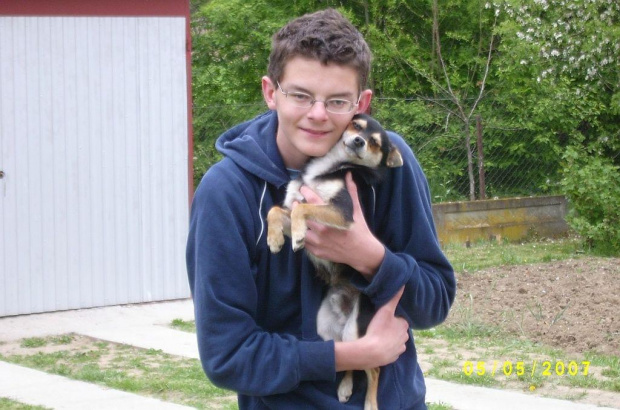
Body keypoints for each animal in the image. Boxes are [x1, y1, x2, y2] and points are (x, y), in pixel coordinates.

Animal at [267, 113, 403, 410]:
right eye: (356, 126)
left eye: (376, 144)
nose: (359, 141)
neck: (326, 168)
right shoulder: (292, 201)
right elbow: (276, 210)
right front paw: (275, 239)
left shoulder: (342, 212)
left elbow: (303, 208)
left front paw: (297, 234)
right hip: (326, 329)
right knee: (350, 355)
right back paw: (344, 387)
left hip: (355, 329)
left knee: (373, 366)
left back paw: (370, 403)